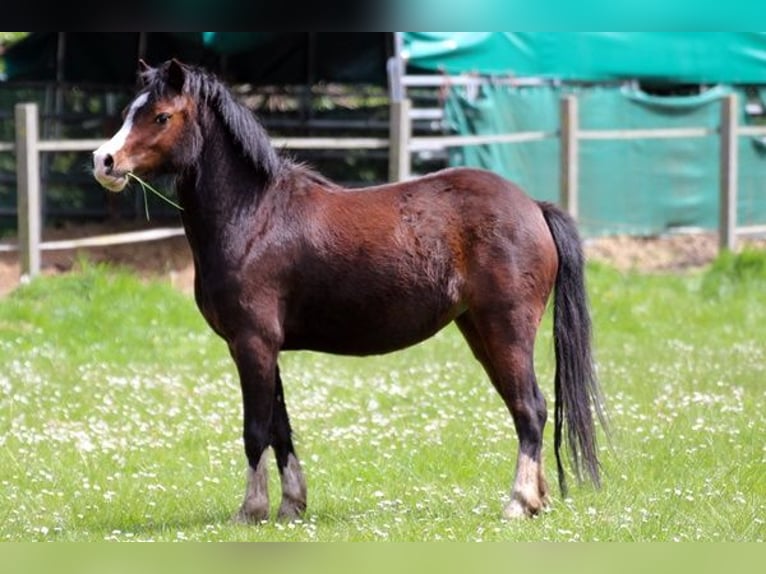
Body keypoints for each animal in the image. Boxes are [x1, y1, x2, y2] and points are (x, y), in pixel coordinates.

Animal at [91, 60, 608, 524]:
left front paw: (250, 510)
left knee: (531, 409)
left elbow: (256, 430)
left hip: (506, 330)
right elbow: (281, 427)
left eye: (160, 116)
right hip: (479, 332)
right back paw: (537, 499)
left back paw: (518, 503)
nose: (103, 161)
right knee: (524, 409)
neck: (254, 216)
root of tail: (533, 206)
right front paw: (291, 505)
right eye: (131, 109)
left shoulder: (251, 343)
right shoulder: (267, 347)